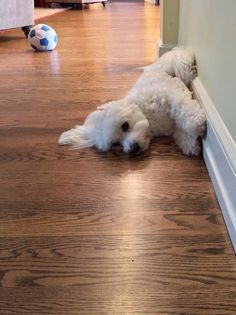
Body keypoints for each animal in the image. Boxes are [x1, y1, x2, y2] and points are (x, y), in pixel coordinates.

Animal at [59, 47, 206, 157]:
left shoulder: (171, 96)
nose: (133, 149)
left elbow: (184, 110)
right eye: (115, 144)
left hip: (179, 67)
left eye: (125, 125)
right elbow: (179, 131)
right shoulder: (171, 125)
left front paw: (197, 125)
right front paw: (190, 144)